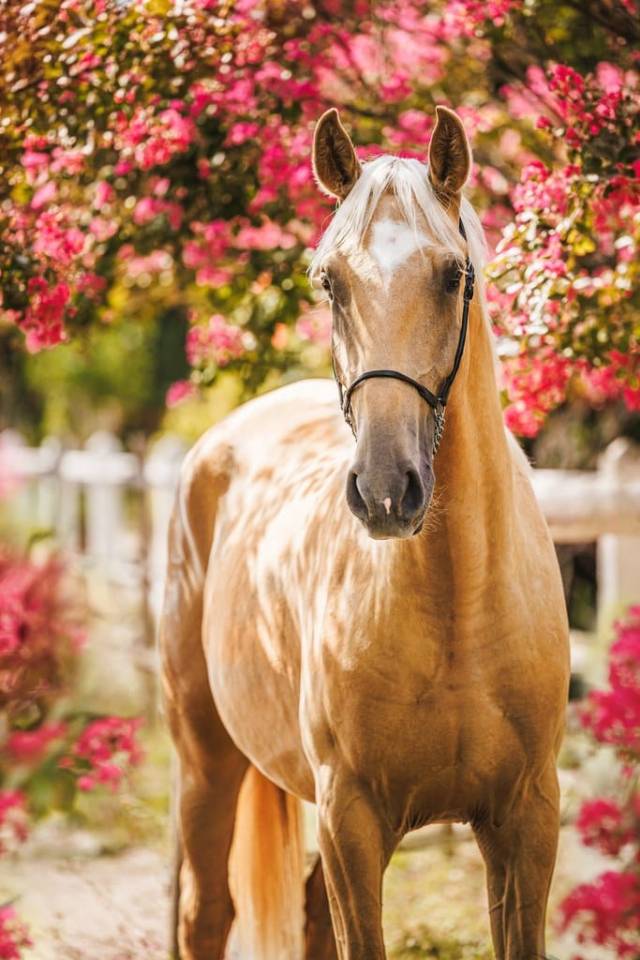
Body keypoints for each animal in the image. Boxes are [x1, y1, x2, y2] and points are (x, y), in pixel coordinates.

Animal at [160, 105, 570, 960]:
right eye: (330, 281)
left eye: (452, 275)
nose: (386, 490)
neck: (456, 606)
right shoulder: (354, 823)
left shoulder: (525, 820)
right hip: (205, 764)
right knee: (205, 913)